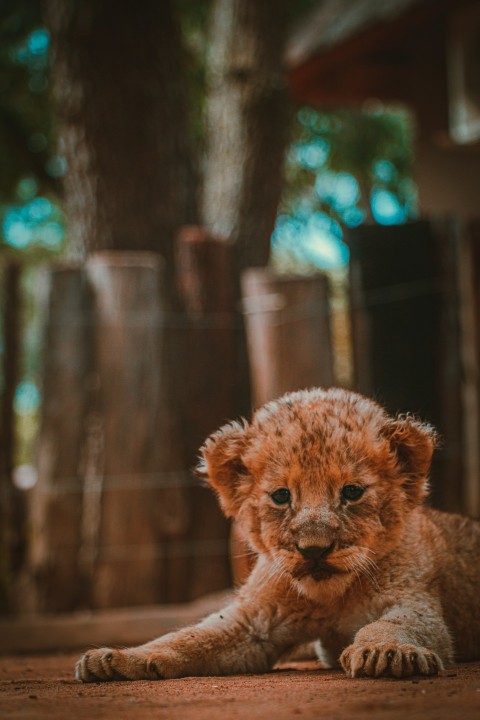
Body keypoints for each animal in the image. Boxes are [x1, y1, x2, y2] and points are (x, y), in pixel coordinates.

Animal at [75, 387, 480, 681]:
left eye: (352, 492)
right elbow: (188, 637)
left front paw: (385, 652)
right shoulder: (253, 621)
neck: (330, 599)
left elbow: (393, 624)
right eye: (281, 496)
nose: (314, 550)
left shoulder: (413, 601)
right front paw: (115, 659)